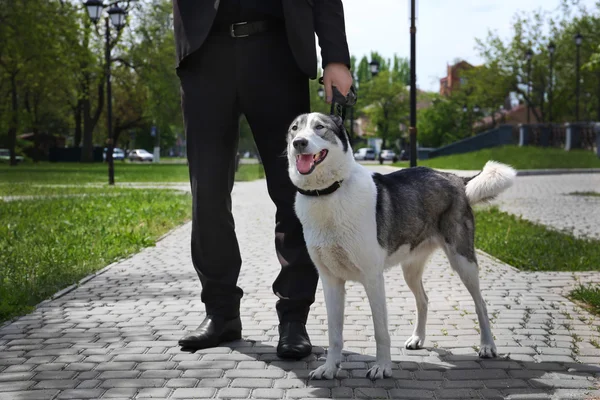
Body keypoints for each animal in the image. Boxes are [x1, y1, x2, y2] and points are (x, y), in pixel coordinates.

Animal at [286, 111, 516, 378]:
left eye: (319, 127)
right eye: (294, 129)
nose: (299, 143)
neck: (328, 193)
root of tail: (456, 179)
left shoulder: (373, 279)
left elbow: (381, 332)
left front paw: (383, 367)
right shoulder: (330, 281)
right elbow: (334, 335)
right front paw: (330, 368)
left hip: (463, 261)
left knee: (481, 304)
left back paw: (488, 345)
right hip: (411, 269)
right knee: (423, 300)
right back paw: (418, 339)